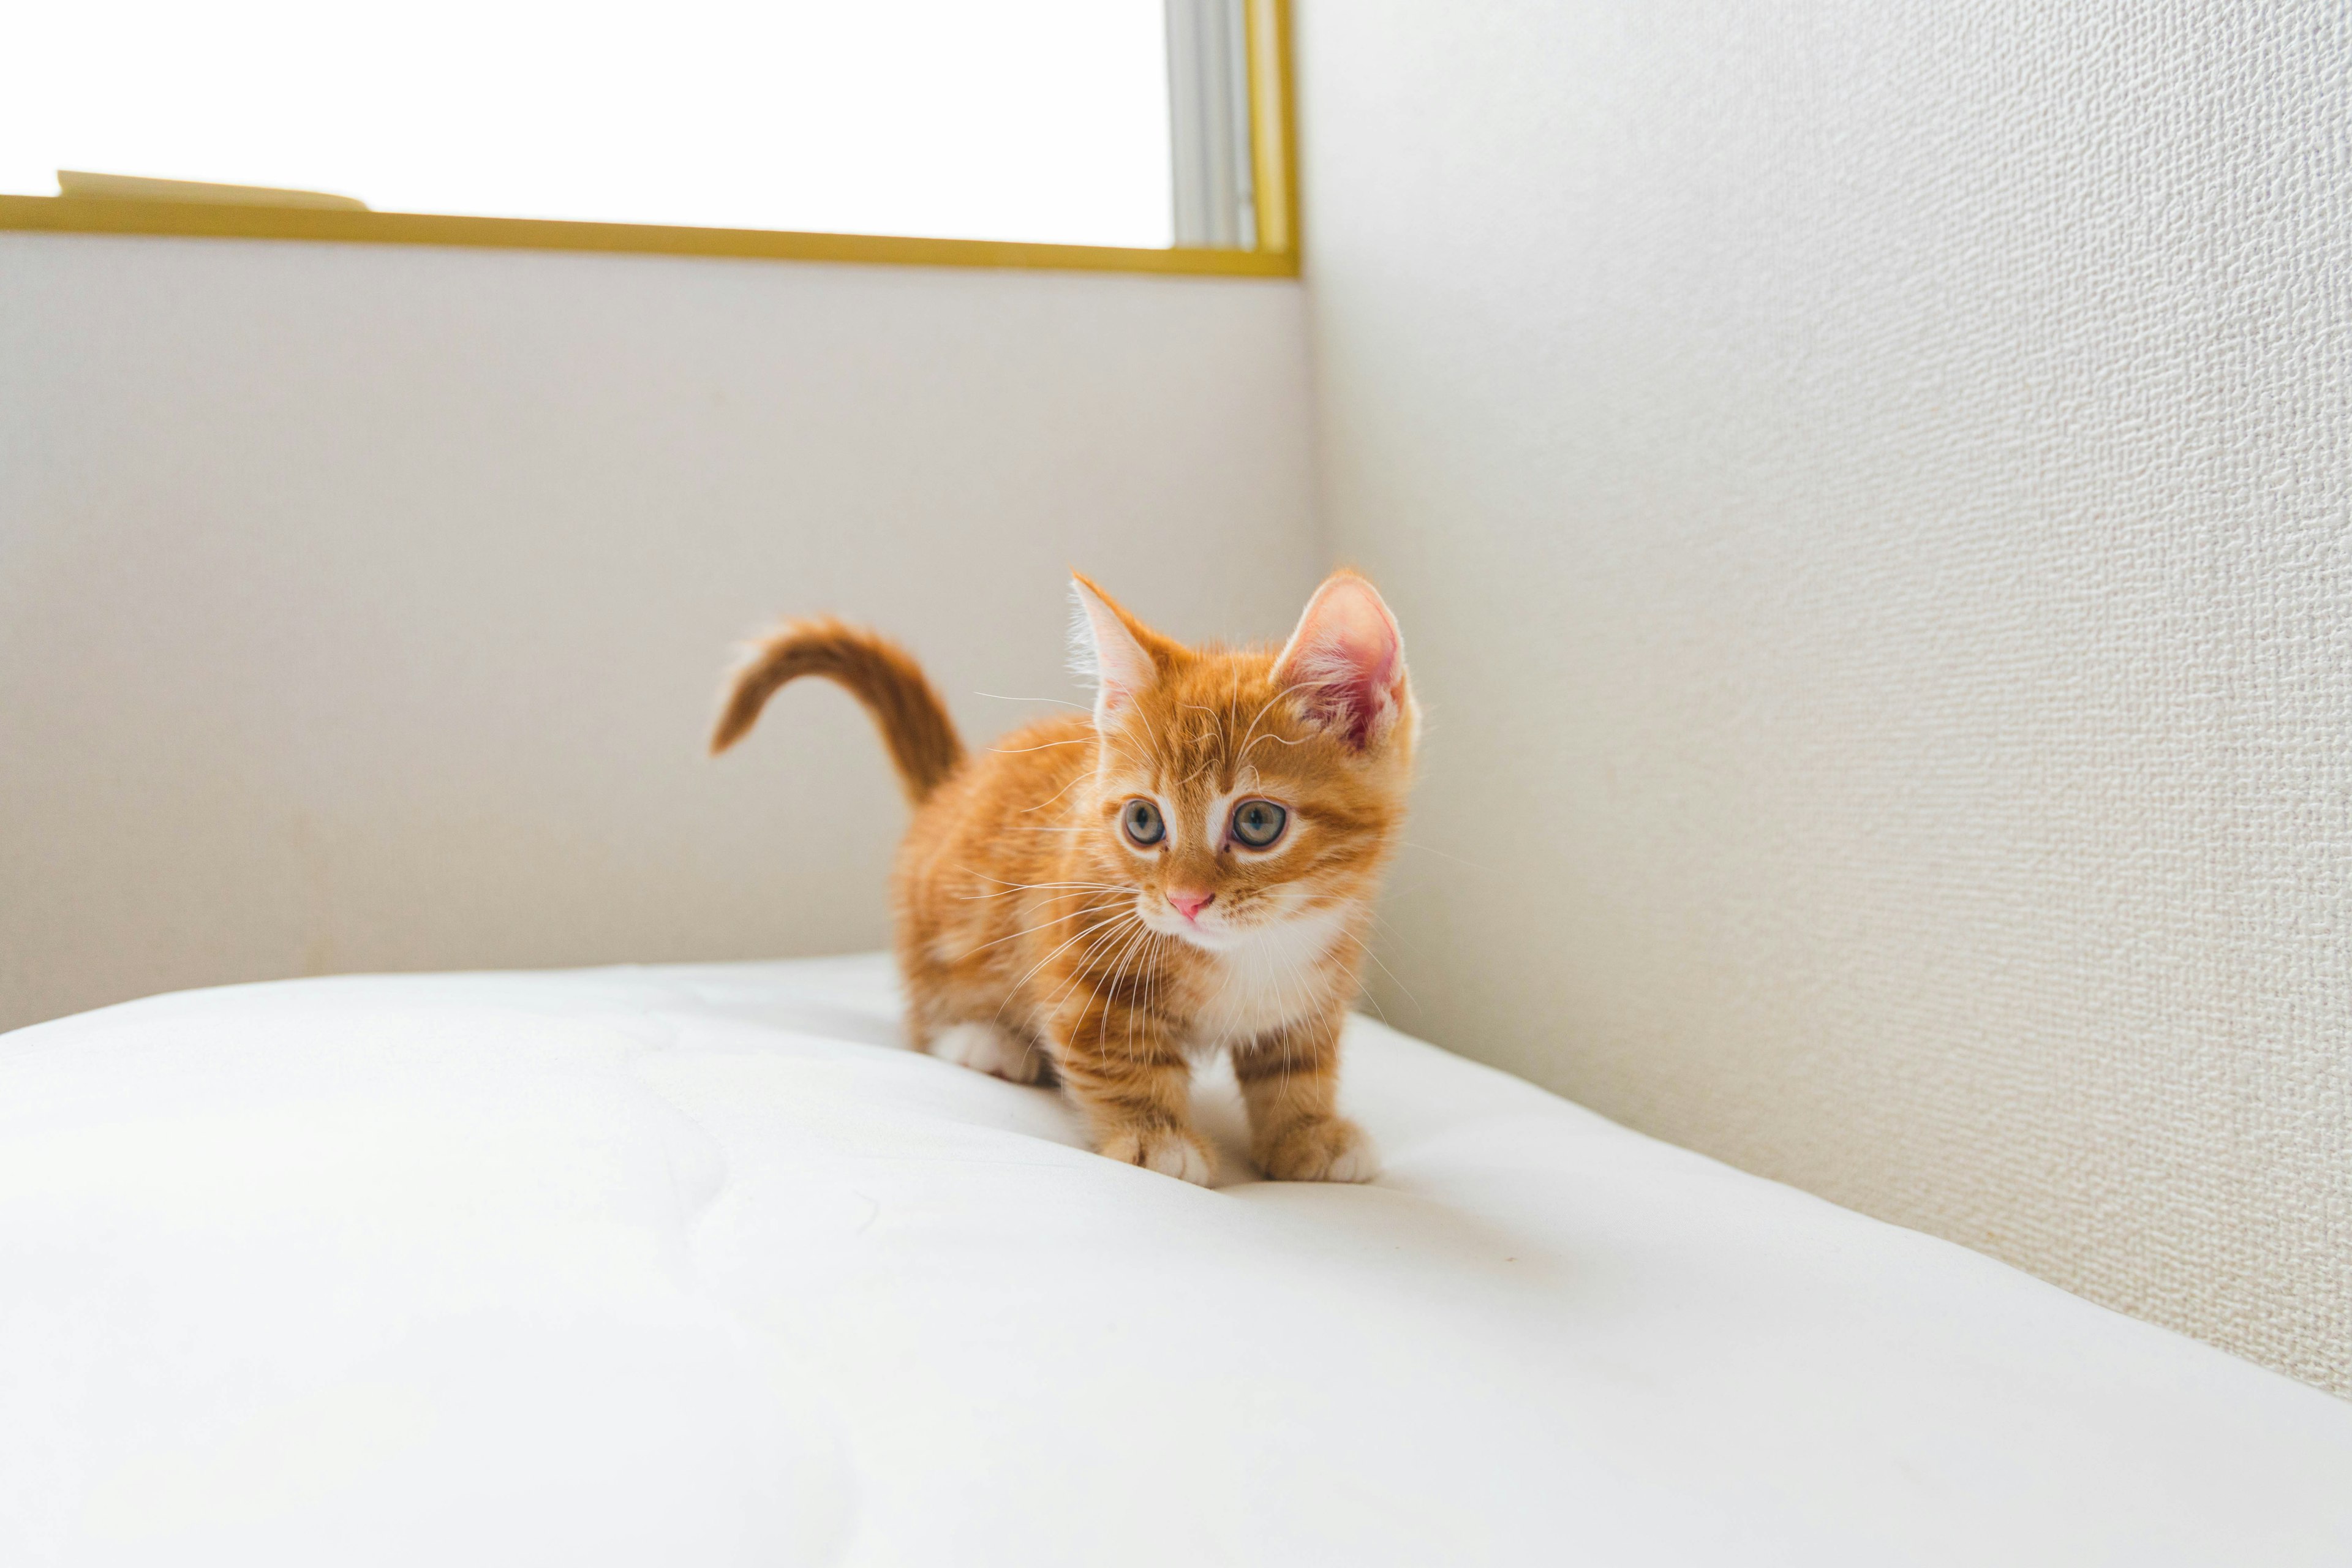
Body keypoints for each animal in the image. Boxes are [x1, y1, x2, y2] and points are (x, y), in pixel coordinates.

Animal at [706, 571, 1411, 1185]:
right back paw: (982, 1041)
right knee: (927, 1007)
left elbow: (1297, 1060)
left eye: (1259, 821)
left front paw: (1306, 1130)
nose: (1185, 900)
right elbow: (1112, 1051)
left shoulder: (1325, 973)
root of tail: (951, 787)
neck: (1257, 947)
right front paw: (1156, 1136)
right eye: (1143, 822)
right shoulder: (1078, 946)